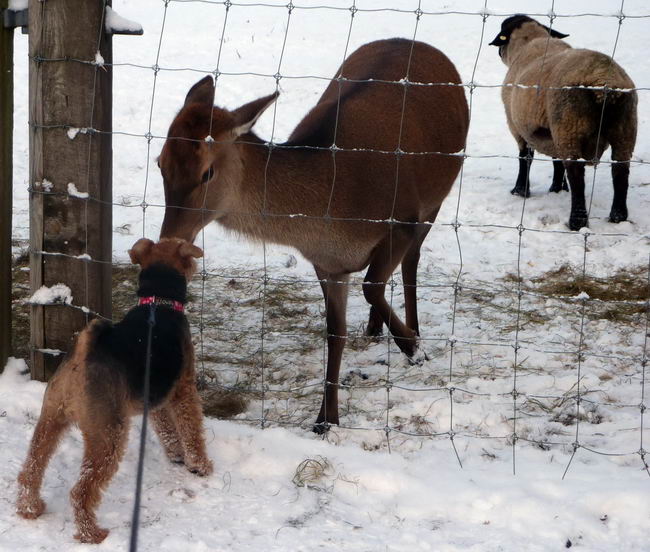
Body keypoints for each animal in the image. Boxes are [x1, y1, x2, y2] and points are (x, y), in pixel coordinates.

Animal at [15, 237, 213, 544]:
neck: (159, 301)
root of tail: (83, 355)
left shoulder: (155, 397)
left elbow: (168, 430)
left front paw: (177, 455)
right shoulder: (183, 389)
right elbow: (192, 430)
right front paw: (199, 465)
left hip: (51, 418)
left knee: (31, 470)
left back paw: (30, 508)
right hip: (108, 435)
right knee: (80, 491)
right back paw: (92, 533)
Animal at [159, 38, 468, 434]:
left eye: (207, 172)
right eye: (160, 162)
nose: (168, 240)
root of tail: (416, 42)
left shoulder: (404, 218)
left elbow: (372, 285)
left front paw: (413, 347)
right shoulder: (326, 263)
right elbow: (335, 332)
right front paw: (326, 419)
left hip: (437, 197)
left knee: (411, 262)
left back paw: (410, 329)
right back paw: (374, 328)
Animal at [488, 15, 636, 230]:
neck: (529, 41)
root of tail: (602, 83)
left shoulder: (518, 126)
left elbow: (525, 158)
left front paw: (520, 190)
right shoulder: (549, 131)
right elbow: (555, 160)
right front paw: (557, 188)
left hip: (569, 126)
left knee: (576, 175)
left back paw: (577, 222)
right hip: (624, 129)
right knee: (620, 172)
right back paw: (618, 216)